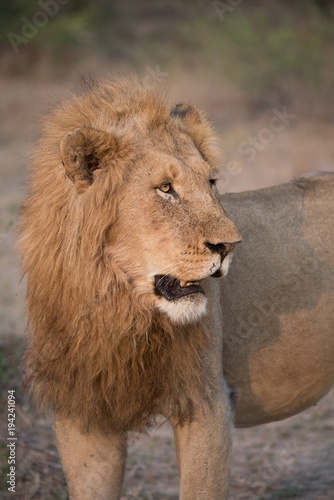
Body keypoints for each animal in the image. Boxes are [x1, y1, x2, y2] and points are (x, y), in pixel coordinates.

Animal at [18, 75, 334, 500]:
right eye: (166, 188)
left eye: (211, 182)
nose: (230, 245)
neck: (117, 307)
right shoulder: (82, 411)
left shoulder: (208, 404)